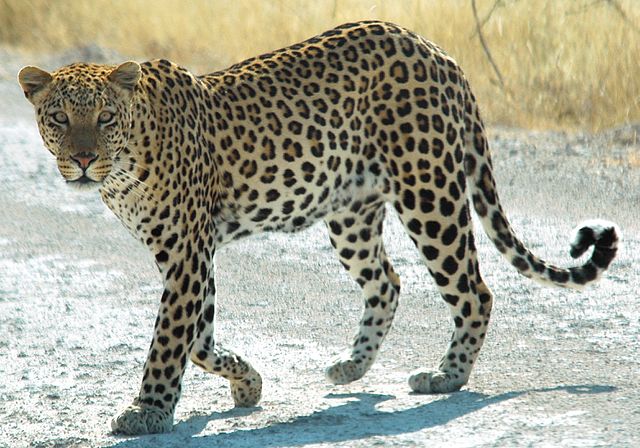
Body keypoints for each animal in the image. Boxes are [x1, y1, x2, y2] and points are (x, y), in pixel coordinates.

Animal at [17, 21, 620, 434]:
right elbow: (199, 338)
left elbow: (169, 340)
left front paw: (147, 412)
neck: (125, 165)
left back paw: (446, 377)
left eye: (104, 118)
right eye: (59, 118)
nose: (84, 161)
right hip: (350, 213)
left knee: (474, 289)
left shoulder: (187, 251)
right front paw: (247, 382)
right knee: (387, 281)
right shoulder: (189, 253)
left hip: (430, 193)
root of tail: (436, 50)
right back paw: (352, 367)